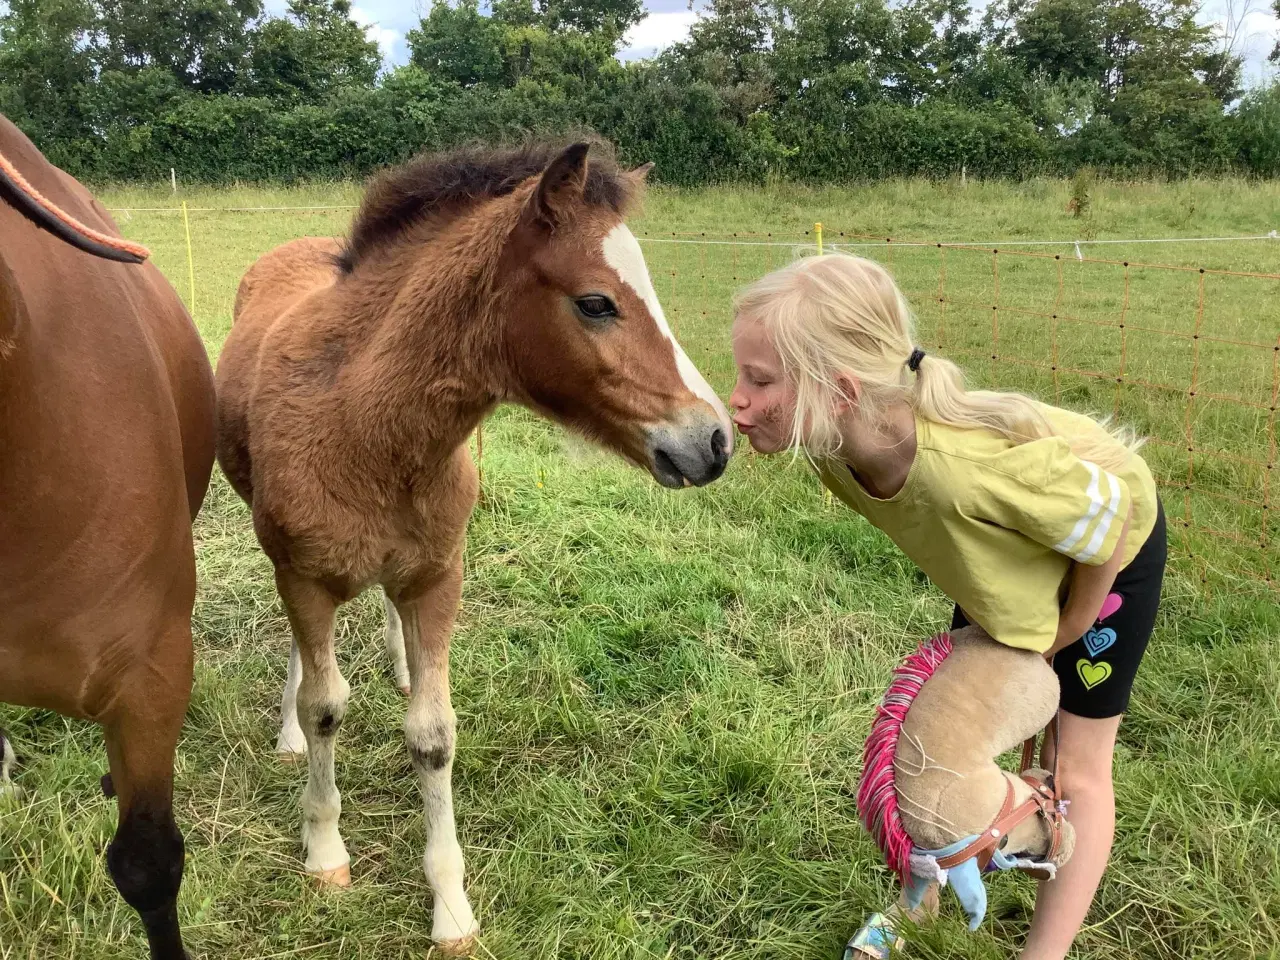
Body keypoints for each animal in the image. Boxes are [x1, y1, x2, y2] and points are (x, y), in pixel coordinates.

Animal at [216, 140, 737, 957]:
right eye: (596, 303)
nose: (714, 441)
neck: (359, 423)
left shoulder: (438, 578)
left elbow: (432, 736)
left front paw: (451, 907)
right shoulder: (303, 576)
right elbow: (326, 706)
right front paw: (325, 851)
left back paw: (399, 667)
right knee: (307, 665)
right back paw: (291, 732)